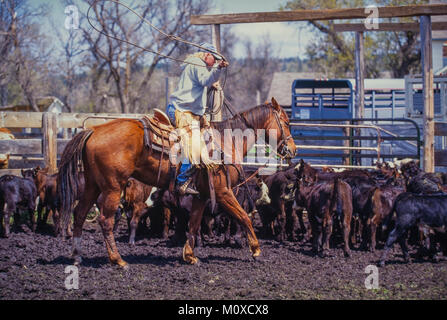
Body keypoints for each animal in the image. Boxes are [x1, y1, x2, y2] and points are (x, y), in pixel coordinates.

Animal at [57, 97, 296, 268]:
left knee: (79, 214)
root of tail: (93, 130)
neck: (226, 140)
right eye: (285, 122)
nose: (293, 149)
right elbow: (244, 217)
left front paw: (189, 256)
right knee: (105, 221)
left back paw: (77, 256)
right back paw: (118, 260)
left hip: (93, 185)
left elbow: (194, 223)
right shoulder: (223, 191)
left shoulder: (202, 195)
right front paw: (256, 250)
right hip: (112, 188)